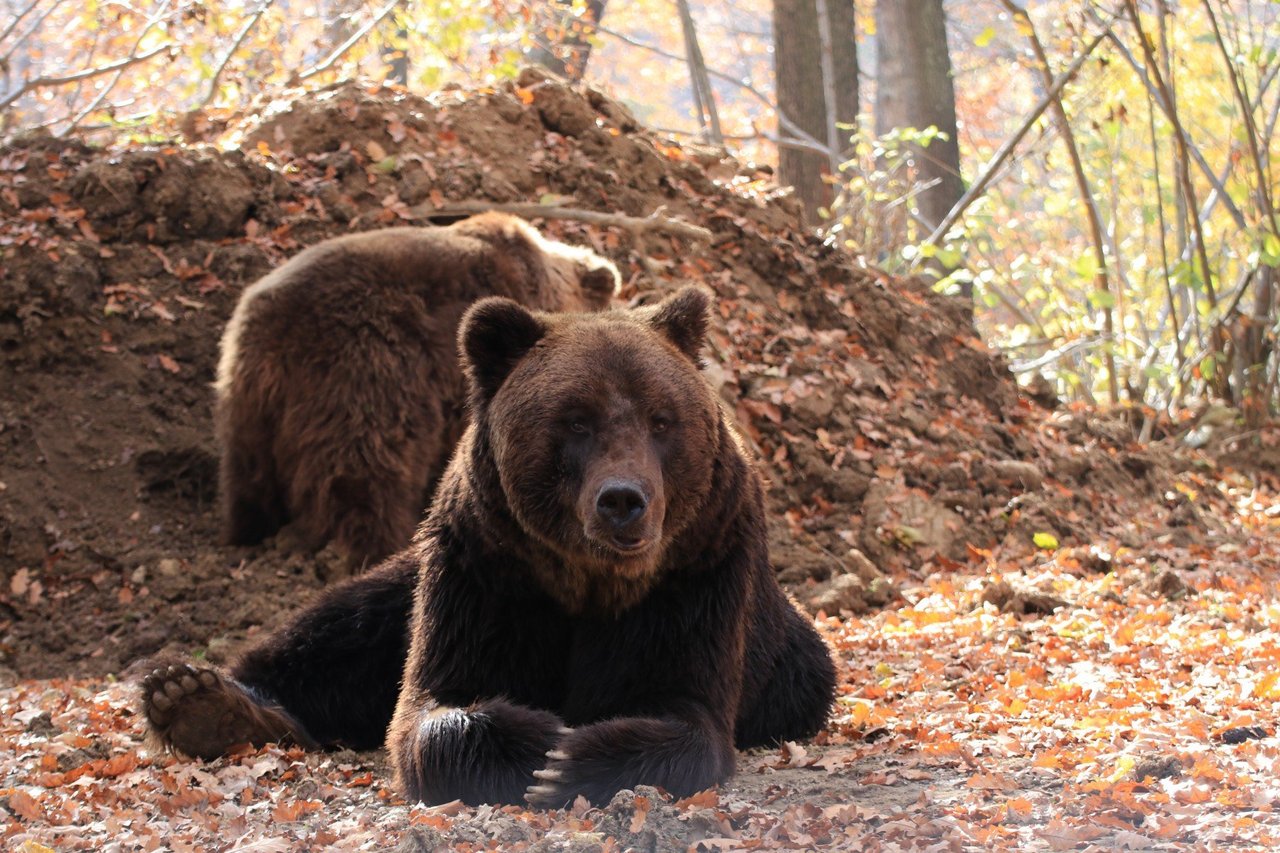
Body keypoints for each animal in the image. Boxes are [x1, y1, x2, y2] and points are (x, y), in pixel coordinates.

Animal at [145, 285, 834, 804]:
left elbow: (685, 709)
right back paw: (199, 698)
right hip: (410, 578)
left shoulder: (697, 570)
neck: (588, 581)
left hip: (788, 661)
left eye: (662, 420)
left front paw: (569, 758)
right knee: (337, 628)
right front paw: (536, 747)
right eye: (575, 420)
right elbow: (435, 700)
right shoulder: (487, 567)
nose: (622, 500)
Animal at [216, 211, 619, 571]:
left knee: (247, 475)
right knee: (366, 473)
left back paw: (247, 531)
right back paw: (379, 546)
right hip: (366, 368)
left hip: (247, 401)